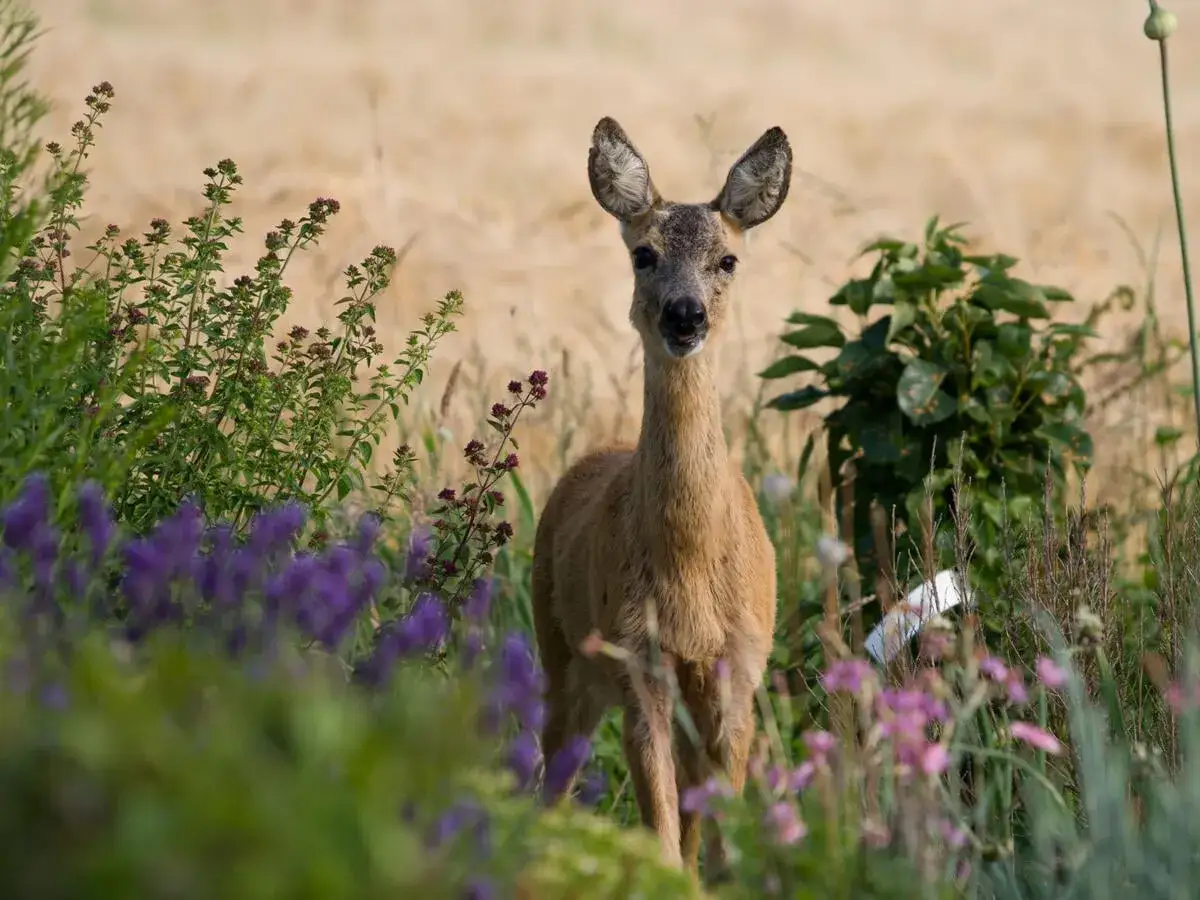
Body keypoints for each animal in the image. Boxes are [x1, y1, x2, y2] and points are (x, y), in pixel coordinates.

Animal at [530, 116, 792, 875]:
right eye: (644, 254)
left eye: (727, 260)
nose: (685, 315)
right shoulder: (637, 661)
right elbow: (664, 838)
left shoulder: (740, 667)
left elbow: (718, 834)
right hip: (559, 651)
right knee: (549, 777)